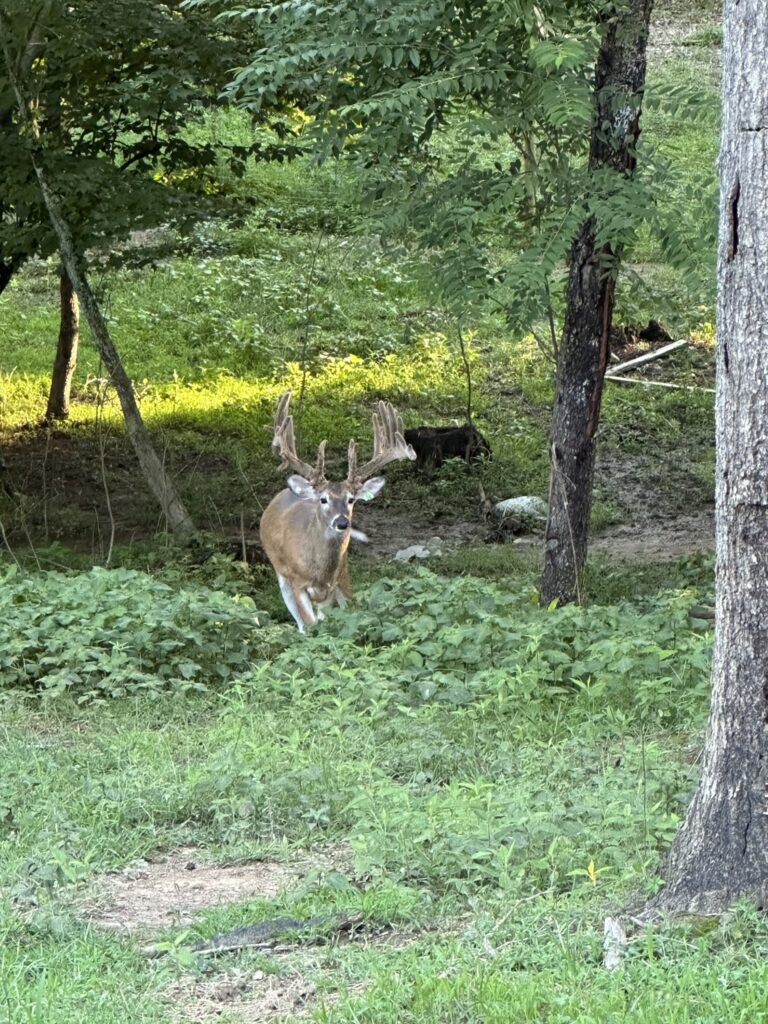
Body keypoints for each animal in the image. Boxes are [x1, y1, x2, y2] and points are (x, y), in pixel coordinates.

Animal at [259, 391, 416, 631]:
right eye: (323, 499)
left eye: (351, 500)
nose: (342, 522)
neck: (319, 571)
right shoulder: (296, 581)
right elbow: (311, 625)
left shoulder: (334, 585)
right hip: (281, 575)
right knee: (300, 624)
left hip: (344, 573)